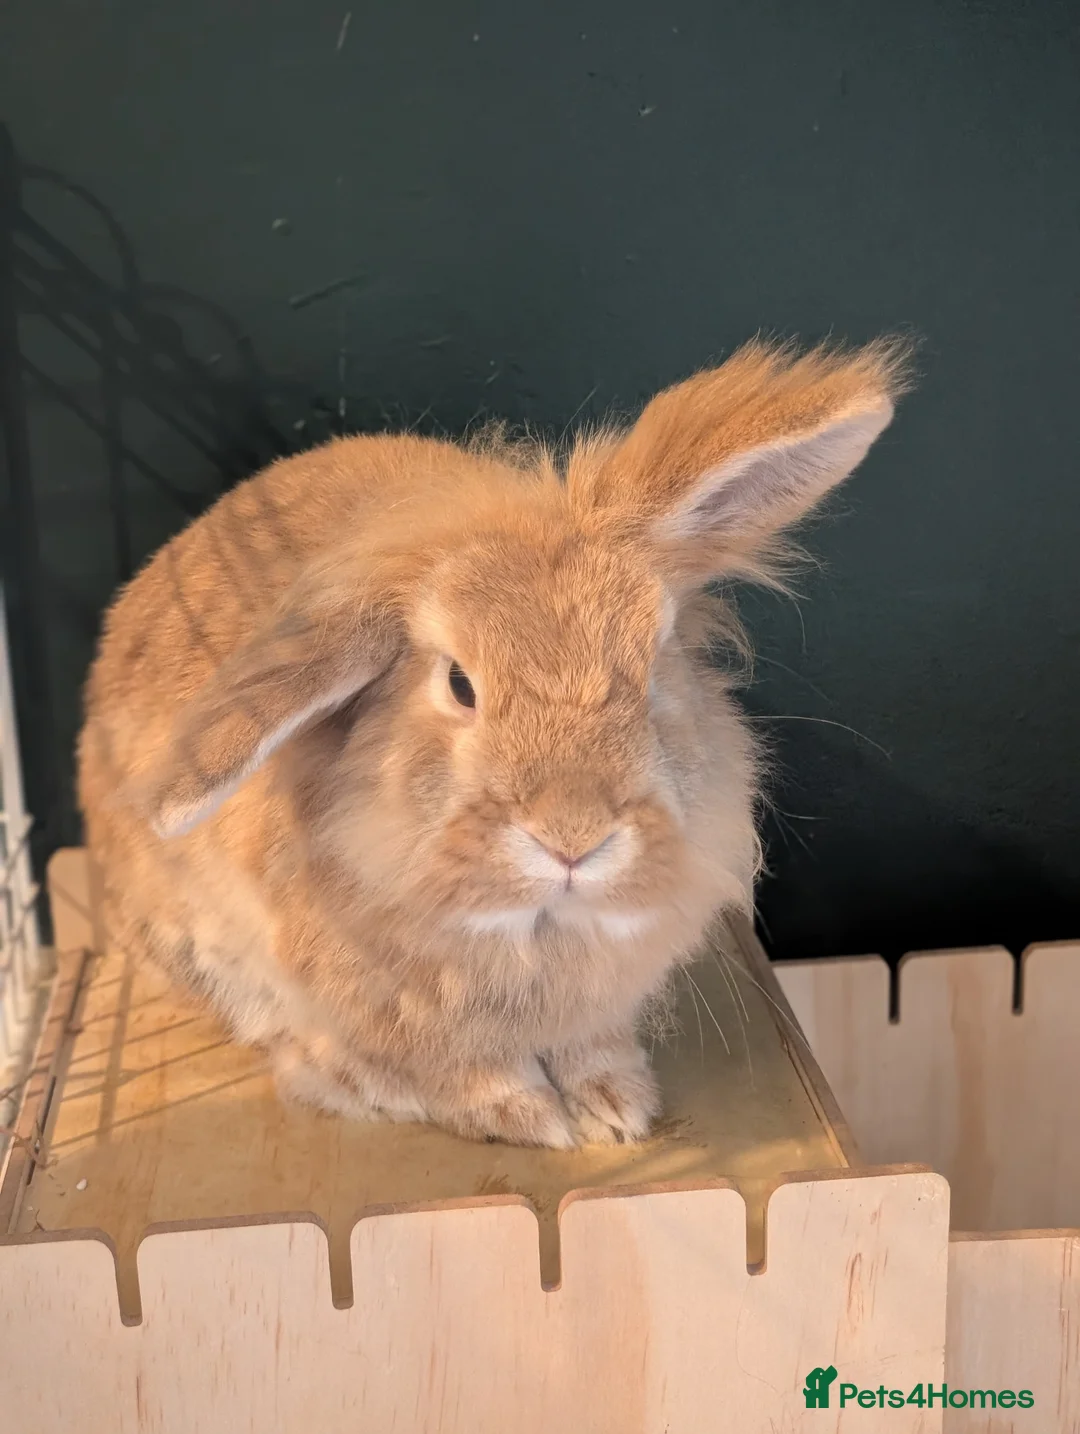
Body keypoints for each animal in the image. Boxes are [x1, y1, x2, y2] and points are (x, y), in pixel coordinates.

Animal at [77, 337, 909, 1148]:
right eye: (459, 684)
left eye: (653, 667)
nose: (573, 837)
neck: (537, 927)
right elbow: (456, 1069)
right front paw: (524, 1116)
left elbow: (590, 1049)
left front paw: (616, 1106)